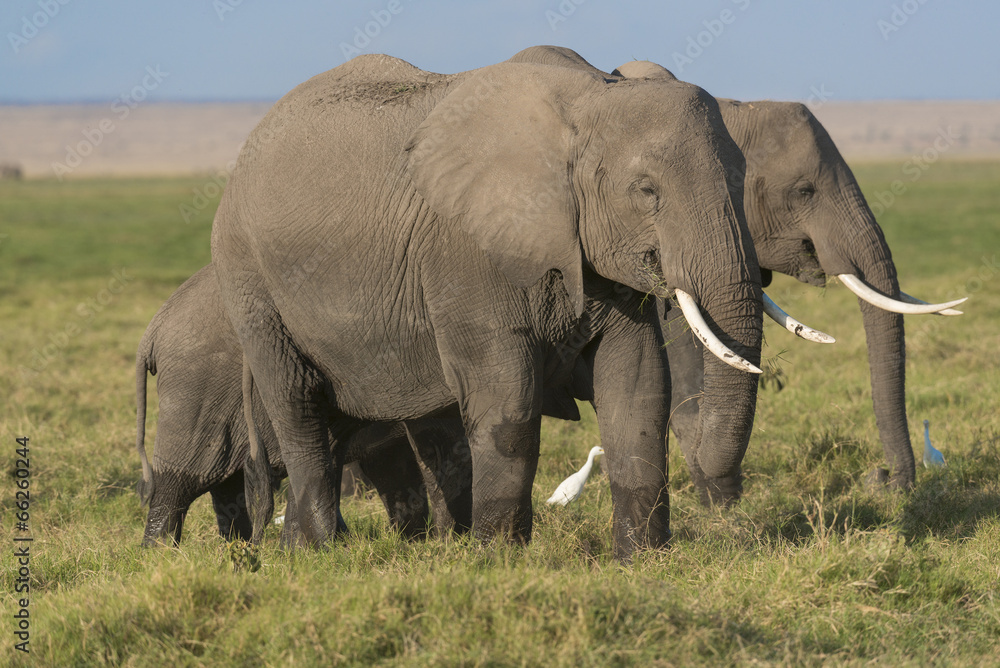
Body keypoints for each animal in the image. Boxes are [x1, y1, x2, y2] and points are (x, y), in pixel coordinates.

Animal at [135, 264, 472, 547]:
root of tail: (152, 331)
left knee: (228, 484)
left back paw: (242, 545)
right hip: (196, 393)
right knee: (184, 478)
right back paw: (160, 552)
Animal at [211, 51, 766, 559]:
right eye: (646, 190)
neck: (590, 97)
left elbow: (638, 385)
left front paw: (641, 560)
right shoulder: (464, 252)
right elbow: (509, 398)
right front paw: (499, 561)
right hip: (252, 287)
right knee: (298, 407)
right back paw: (321, 551)